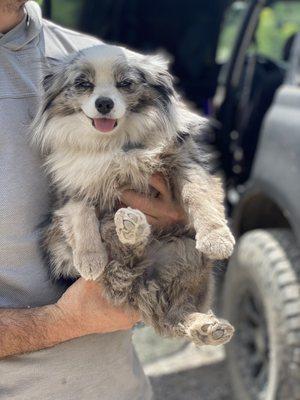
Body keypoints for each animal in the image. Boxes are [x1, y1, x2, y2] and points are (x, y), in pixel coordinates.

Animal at [32, 43, 234, 344]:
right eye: (83, 84)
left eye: (125, 83)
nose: (104, 103)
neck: (114, 144)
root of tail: (143, 284)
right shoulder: (70, 188)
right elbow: (81, 214)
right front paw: (90, 258)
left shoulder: (184, 162)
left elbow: (197, 194)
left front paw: (216, 237)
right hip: (60, 244)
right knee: (121, 251)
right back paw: (130, 229)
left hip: (186, 253)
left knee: (176, 312)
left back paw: (206, 327)